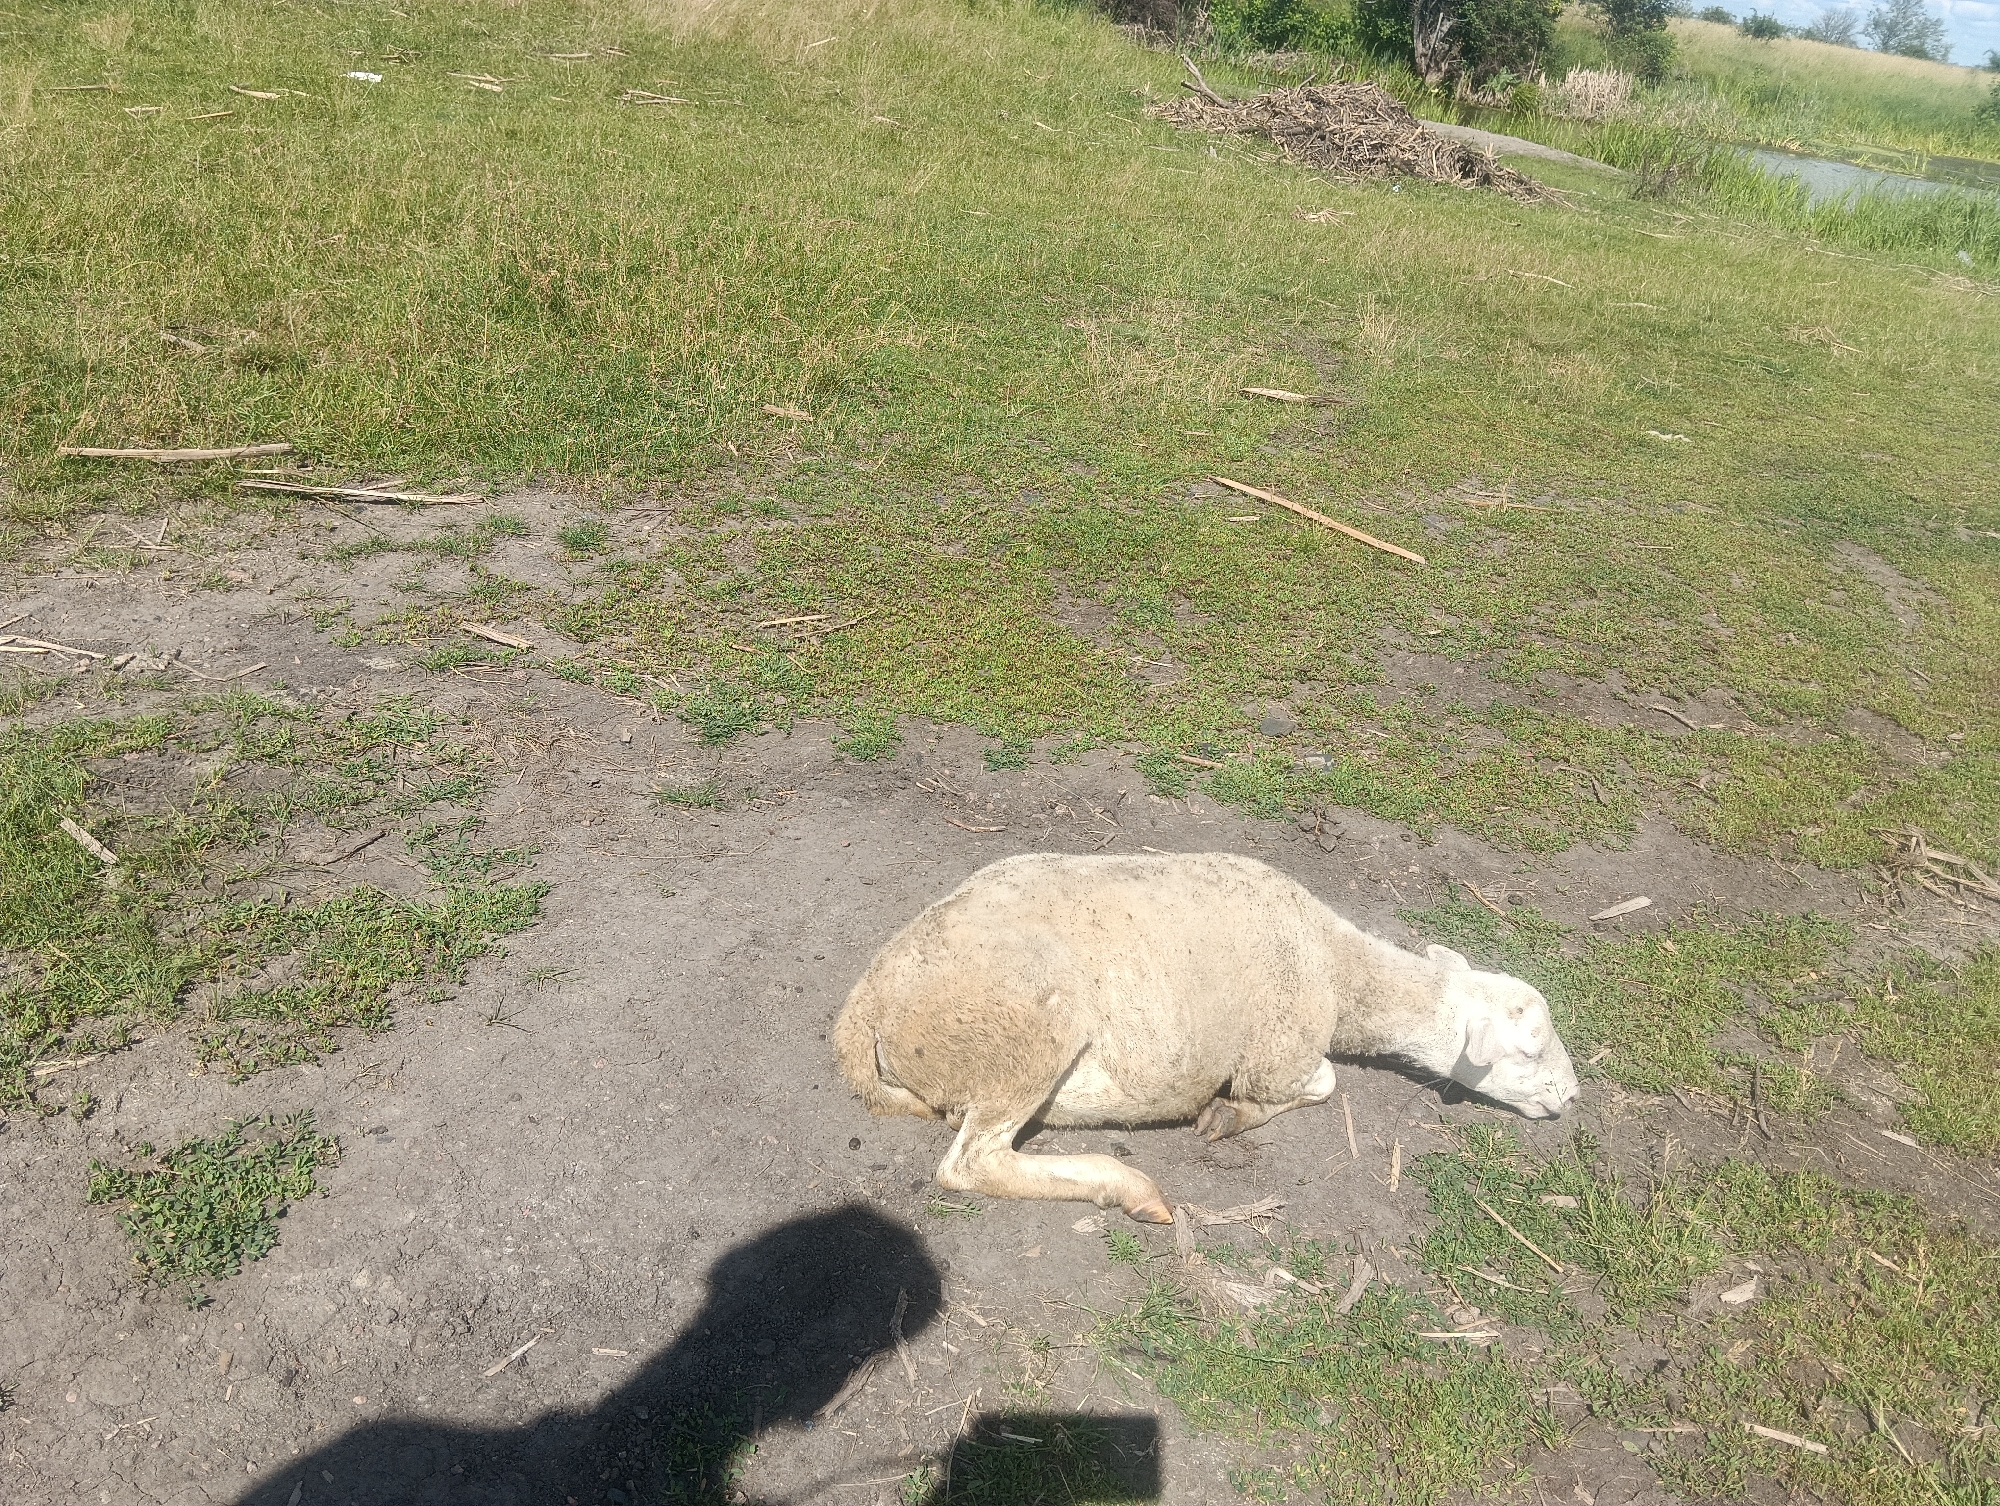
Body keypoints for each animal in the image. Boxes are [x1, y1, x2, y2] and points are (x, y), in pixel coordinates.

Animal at [833, 851, 1579, 1223]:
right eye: (1530, 1049)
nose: (1573, 1100)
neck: (1340, 972)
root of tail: (864, 1006)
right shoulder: (1279, 1050)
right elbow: (1321, 1081)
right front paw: (1229, 1115)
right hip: (1024, 1034)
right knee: (971, 1163)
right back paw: (1128, 1188)